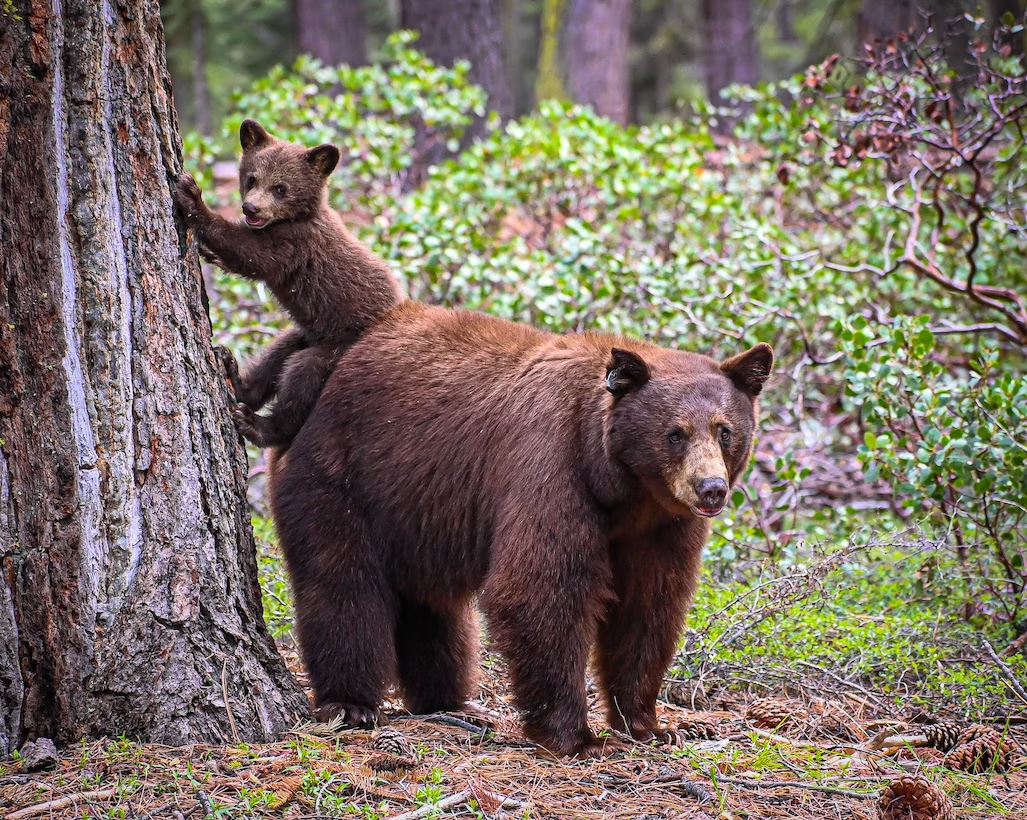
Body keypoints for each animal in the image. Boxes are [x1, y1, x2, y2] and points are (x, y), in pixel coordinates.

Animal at [269, 302, 772, 756]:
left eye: (725, 430)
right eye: (675, 433)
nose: (711, 489)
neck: (621, 488)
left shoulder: (662, 525)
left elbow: (649, 606)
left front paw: (650, 724)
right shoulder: (550, 463)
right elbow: (540, 589)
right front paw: (577, 737)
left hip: (415, 512)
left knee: (433, 607)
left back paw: (450, 702)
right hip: (340, 477)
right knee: (343, 585)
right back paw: (352, 704)